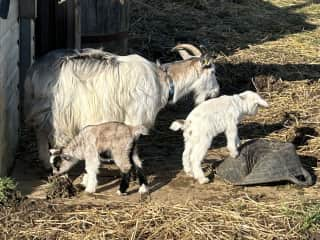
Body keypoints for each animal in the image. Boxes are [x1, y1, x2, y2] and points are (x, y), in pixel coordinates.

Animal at [24, 44, 220, 169]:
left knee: (40, 132)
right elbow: (134, 144)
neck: (163, 81)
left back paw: (45, 163)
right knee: (49, 135)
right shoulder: (136, 117)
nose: (216, 92)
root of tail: (34, 71)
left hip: (42, 108)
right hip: (59, 113)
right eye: (212, 71)